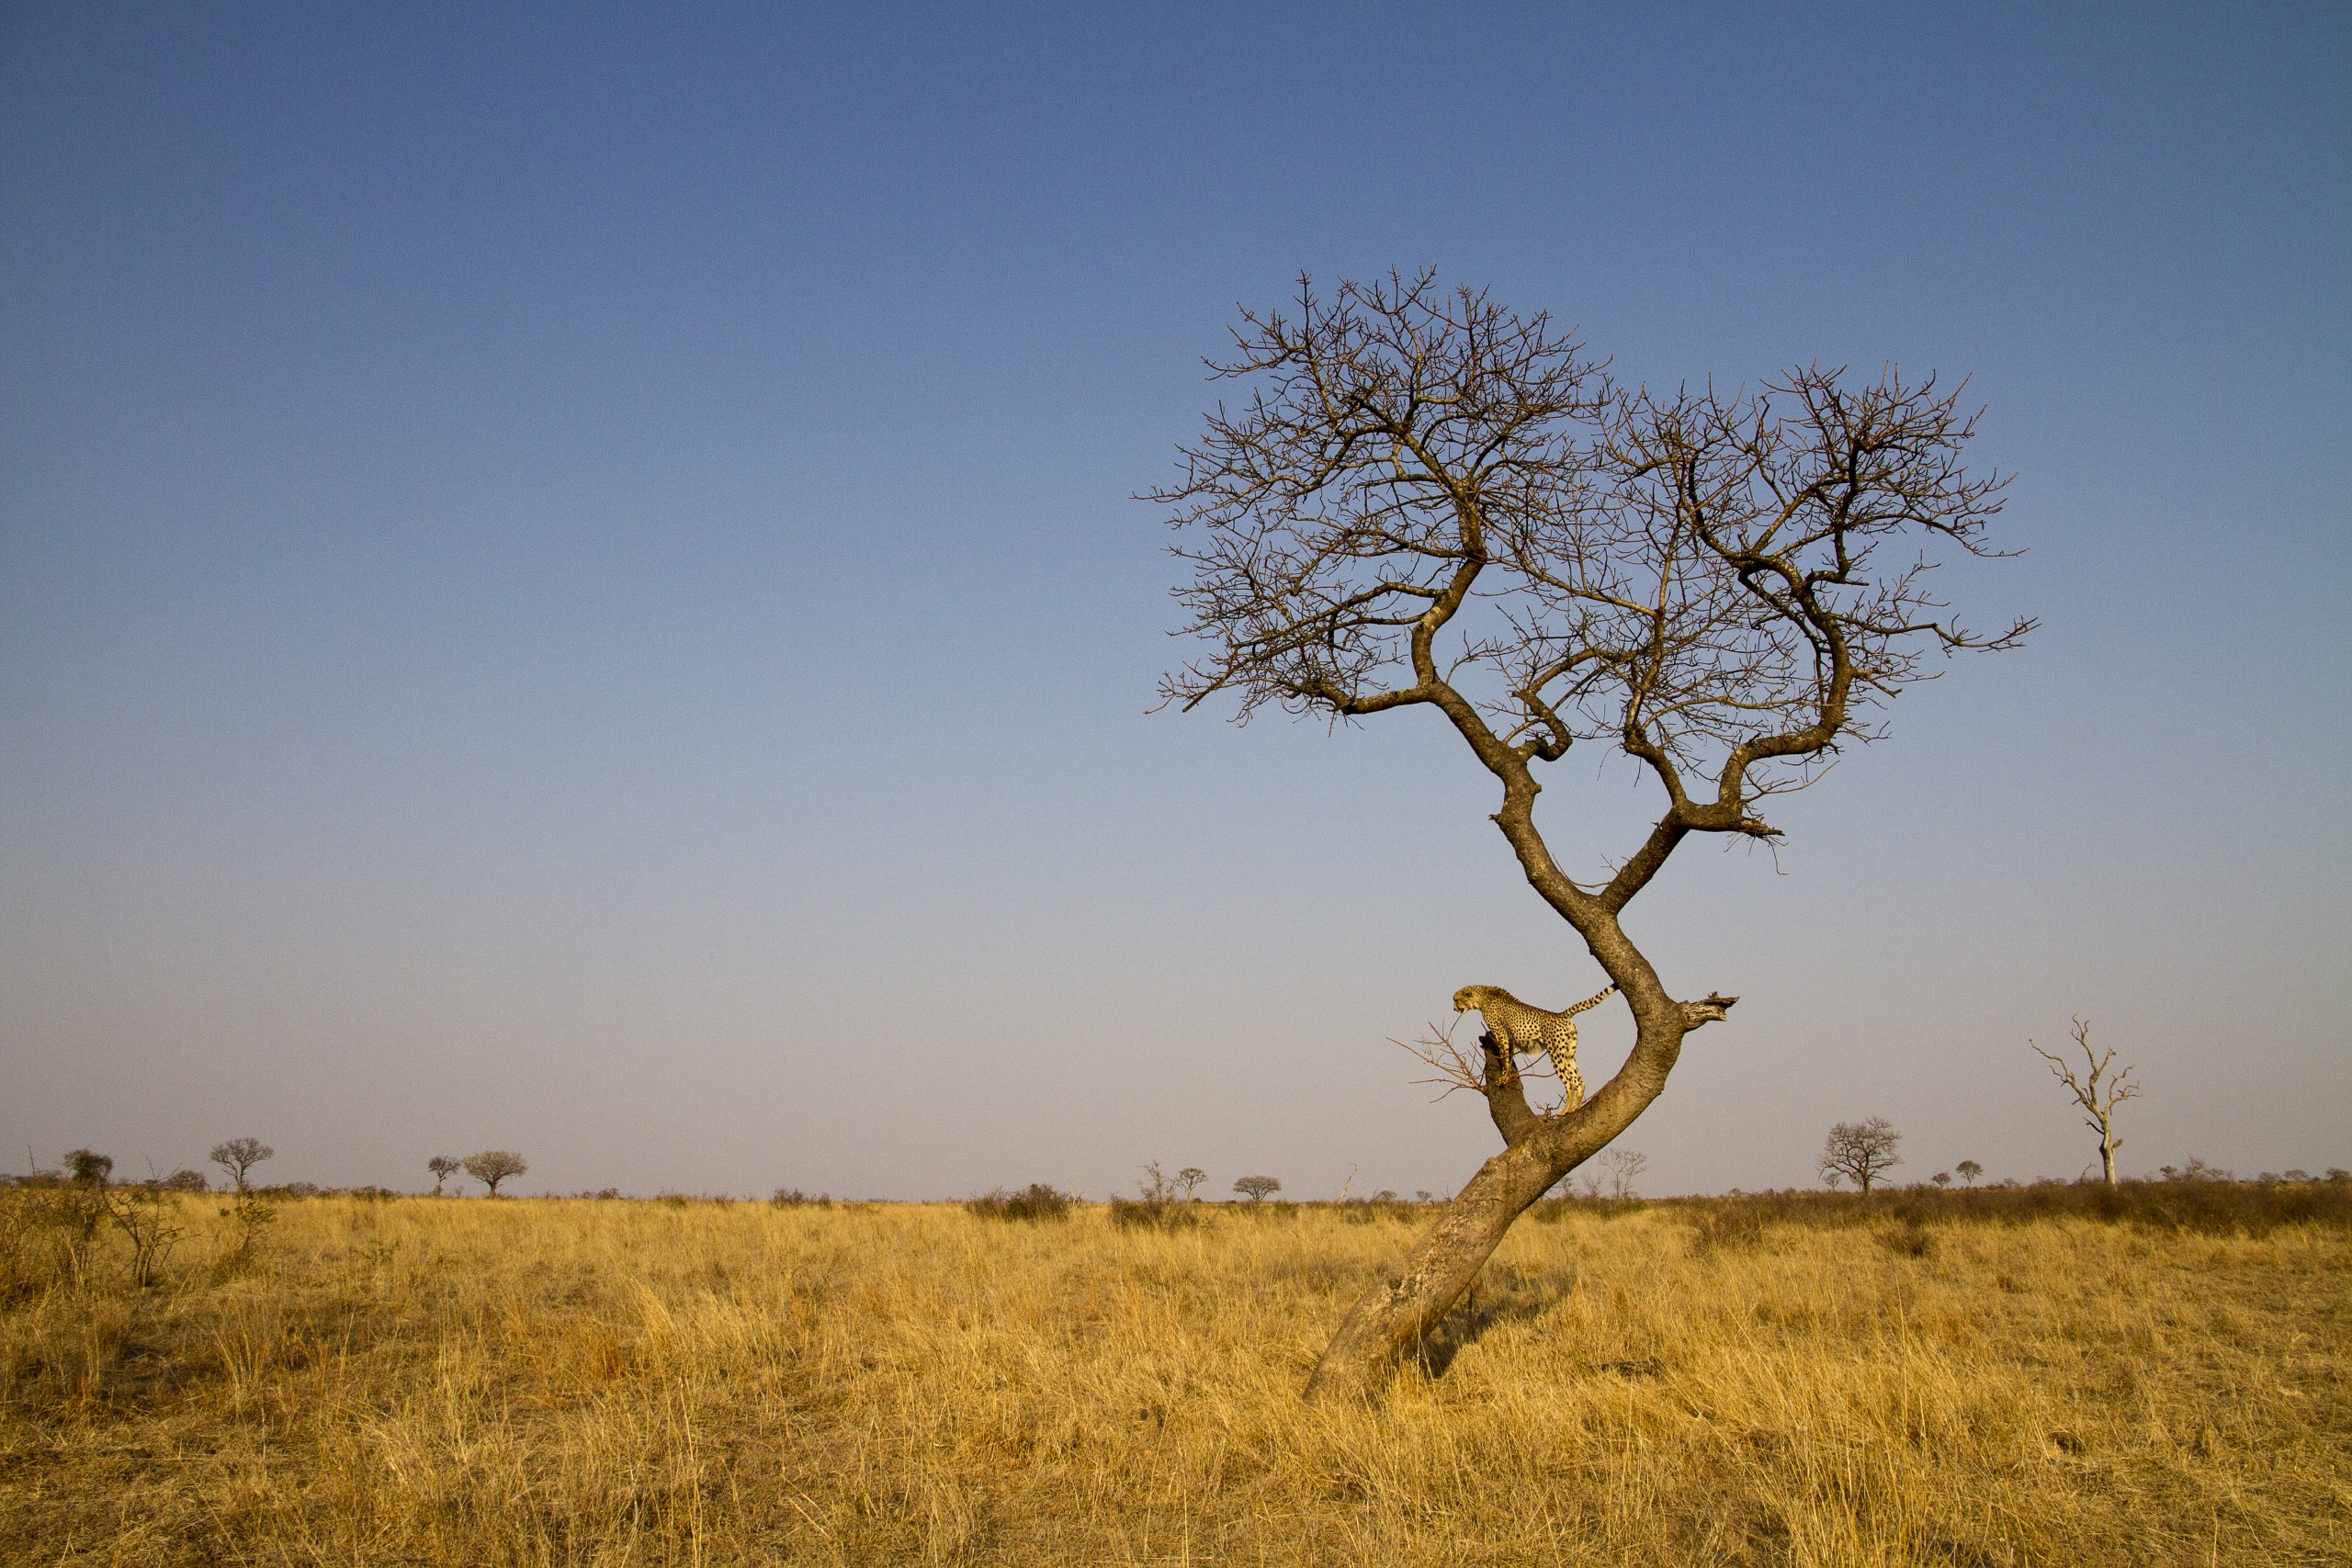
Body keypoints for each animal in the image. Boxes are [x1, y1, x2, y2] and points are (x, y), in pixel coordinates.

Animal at [1451, 982, 1619, 1113]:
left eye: (1456, 1000)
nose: (1454, 1009)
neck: (1482, 997)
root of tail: (1561, 1014)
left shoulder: (1502, 1034)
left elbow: (1504, 1058)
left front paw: (1503, 1079)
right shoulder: (1510, 1038)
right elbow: (1509, 1058)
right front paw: (1508, 1076)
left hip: (1555, 1053)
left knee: (1570, 1082)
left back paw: (1565, 1111)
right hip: (1569, 1054)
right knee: (1580, 1081)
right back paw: (1575, 1108)